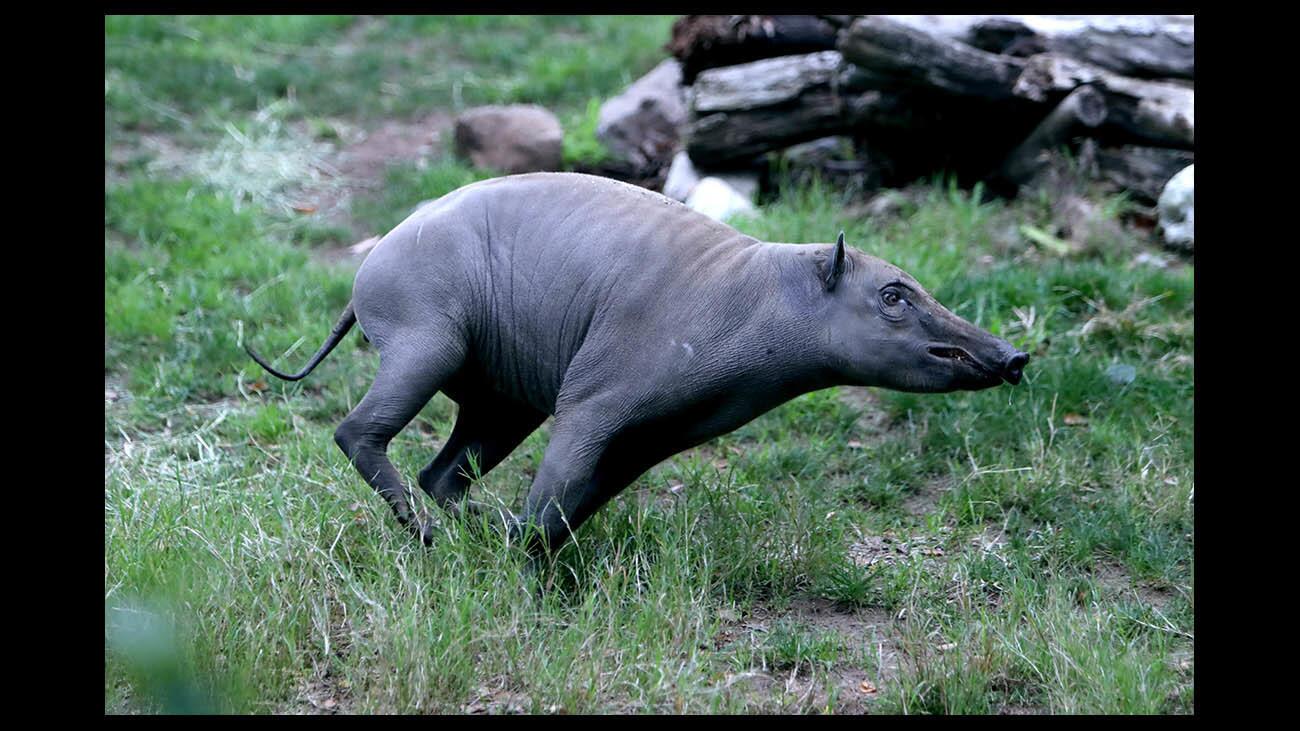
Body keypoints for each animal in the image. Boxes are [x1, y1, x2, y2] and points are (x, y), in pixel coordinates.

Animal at [248, 171, 1029, 551]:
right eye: (895, 296)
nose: (1015, 356)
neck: (761, 296)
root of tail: (370, 264)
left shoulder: (650, 438)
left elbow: (567, 512)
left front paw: (523, 551)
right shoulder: (592, 408)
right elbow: (549, 504)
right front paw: (519, 571)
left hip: (504, 404)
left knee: (441, 475)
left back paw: (460, 533)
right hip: (427, 344)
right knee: (359, 433)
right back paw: (430, 533)